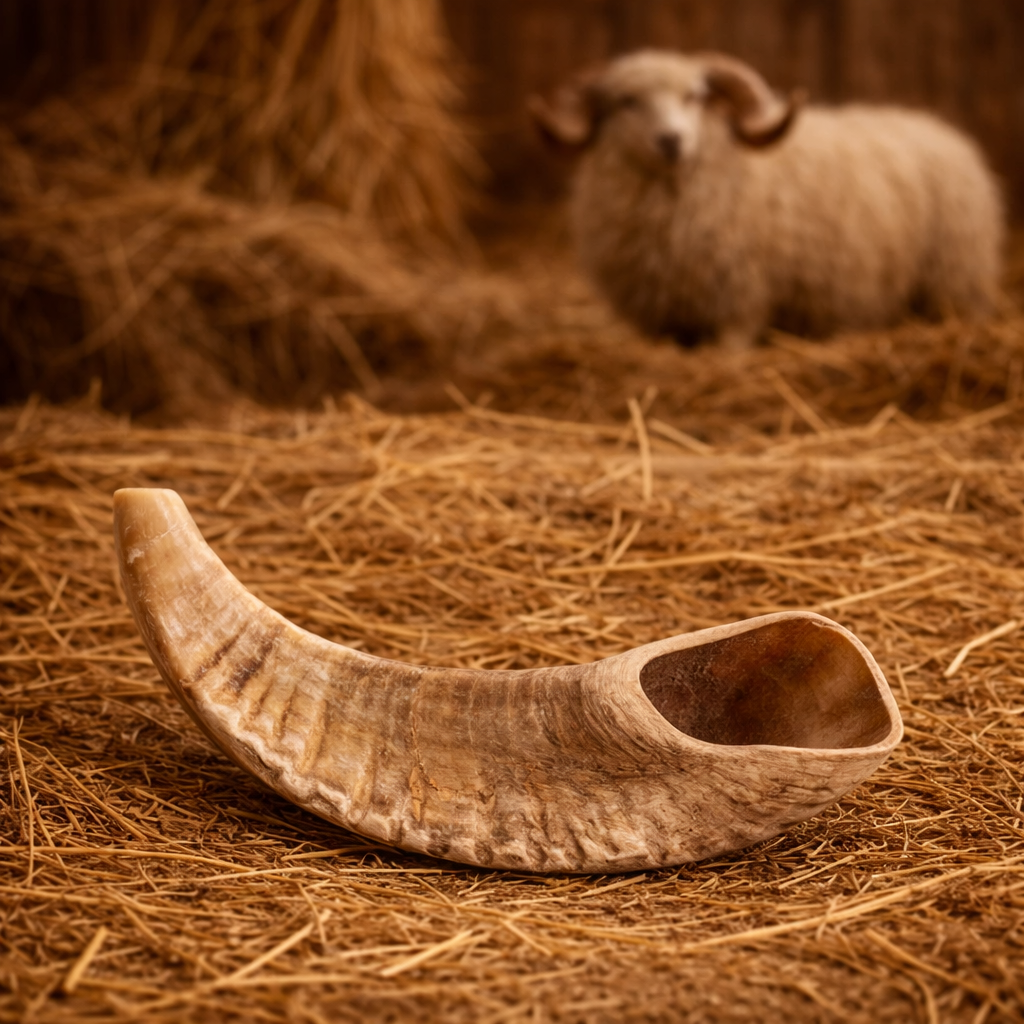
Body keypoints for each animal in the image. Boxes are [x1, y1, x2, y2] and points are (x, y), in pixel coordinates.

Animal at [529, 51, 1004, 349]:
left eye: (695, 97)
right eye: (626, 102)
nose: (671, 140)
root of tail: (939, 127)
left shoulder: (741, 300)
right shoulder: (666, 315)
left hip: (955, 277)